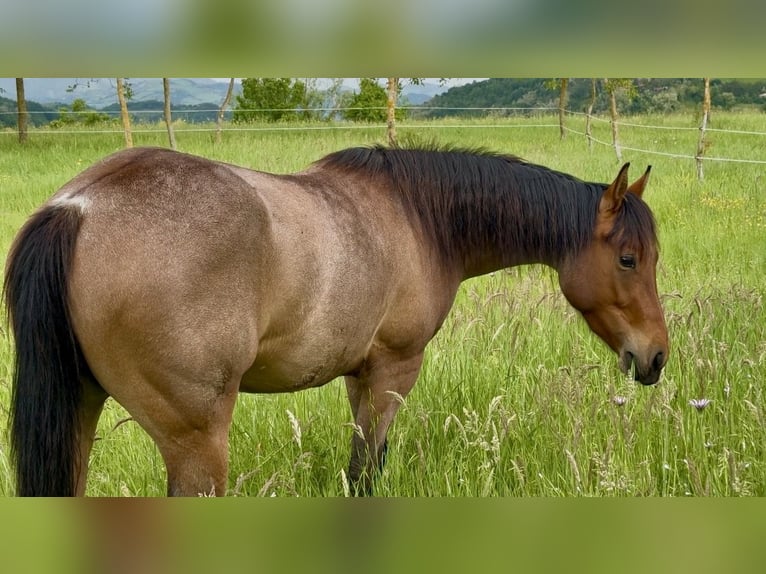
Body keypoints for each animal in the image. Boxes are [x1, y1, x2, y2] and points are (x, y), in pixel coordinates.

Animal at [4, 144, 668, 496]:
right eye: (628, 258)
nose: (656, 356)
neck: (419, 218)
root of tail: (79, 207)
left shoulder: (360, 373)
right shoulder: (395, 370)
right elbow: (367, 469)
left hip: (80, 412)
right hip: (196, 442)